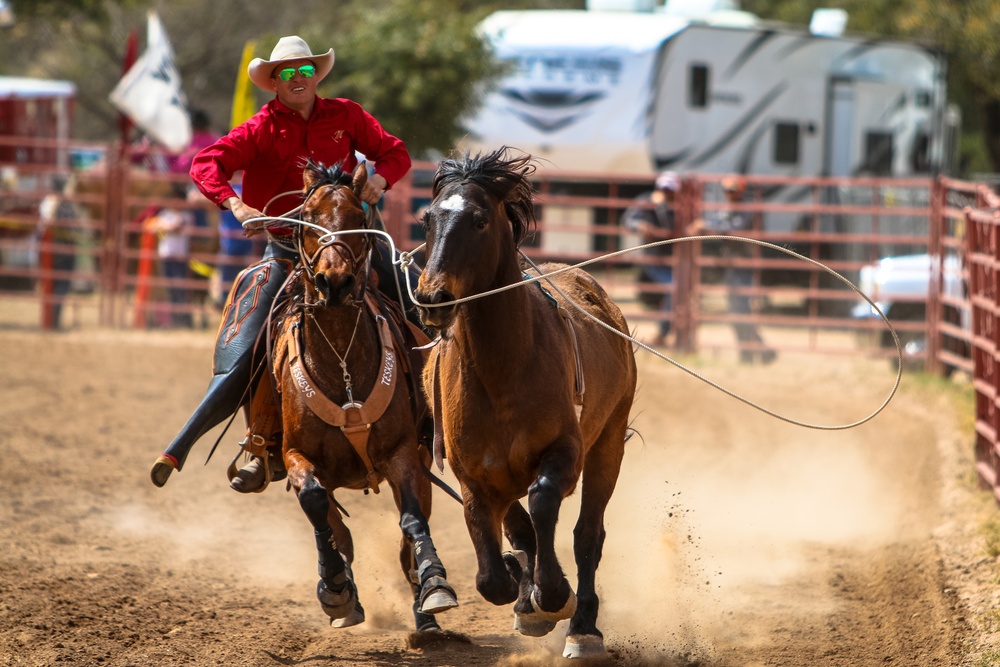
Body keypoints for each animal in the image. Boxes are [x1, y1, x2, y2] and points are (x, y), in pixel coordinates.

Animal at [276, 159, 458, 636]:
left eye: (359, 218)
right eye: (307, 219)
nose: (334, 282)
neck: (341, 359)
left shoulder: (403, 454)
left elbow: (412, 519)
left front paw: (434, 586)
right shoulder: (295, 454)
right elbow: (316, 504)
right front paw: (335, 589)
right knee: (337, 528)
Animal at [412, 149, 632, 660]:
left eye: (478, 220)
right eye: (427, 218)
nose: (433, 298)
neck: (503, 370)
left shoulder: (565, 452)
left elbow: (545, 501)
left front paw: (553, 596)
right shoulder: (473, 472)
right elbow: (493, 566)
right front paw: (523, 590)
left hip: (609, 443)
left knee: (587, 535)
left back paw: (583, 629)